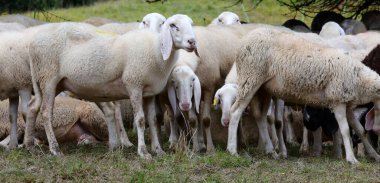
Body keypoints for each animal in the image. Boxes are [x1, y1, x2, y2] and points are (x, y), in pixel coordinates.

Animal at [26, 14, 199, 159]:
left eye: (191, 24)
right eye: (173, 25)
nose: (192, 42)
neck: (156, 50)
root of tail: (32, 43)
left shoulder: (149, 93)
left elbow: (153, 120)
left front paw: (158, 150)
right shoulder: (134, 85)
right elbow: (141, 120)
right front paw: (143, 152)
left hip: (52, 82)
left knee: (32, 107)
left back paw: (29, 145)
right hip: (48, 78)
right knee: (46, 112)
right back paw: (55, 149)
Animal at [227, 27, 380, 164]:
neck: (359, 78)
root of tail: (246, 38)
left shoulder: (347, 103)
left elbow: (360, 130)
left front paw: (374, 155)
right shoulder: (338, 101)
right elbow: (345, 130)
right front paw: (351, 159)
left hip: (263, 89)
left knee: (260, 117)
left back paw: (271, 151)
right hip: (250, 78)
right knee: (235, 112)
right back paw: (232, 150)